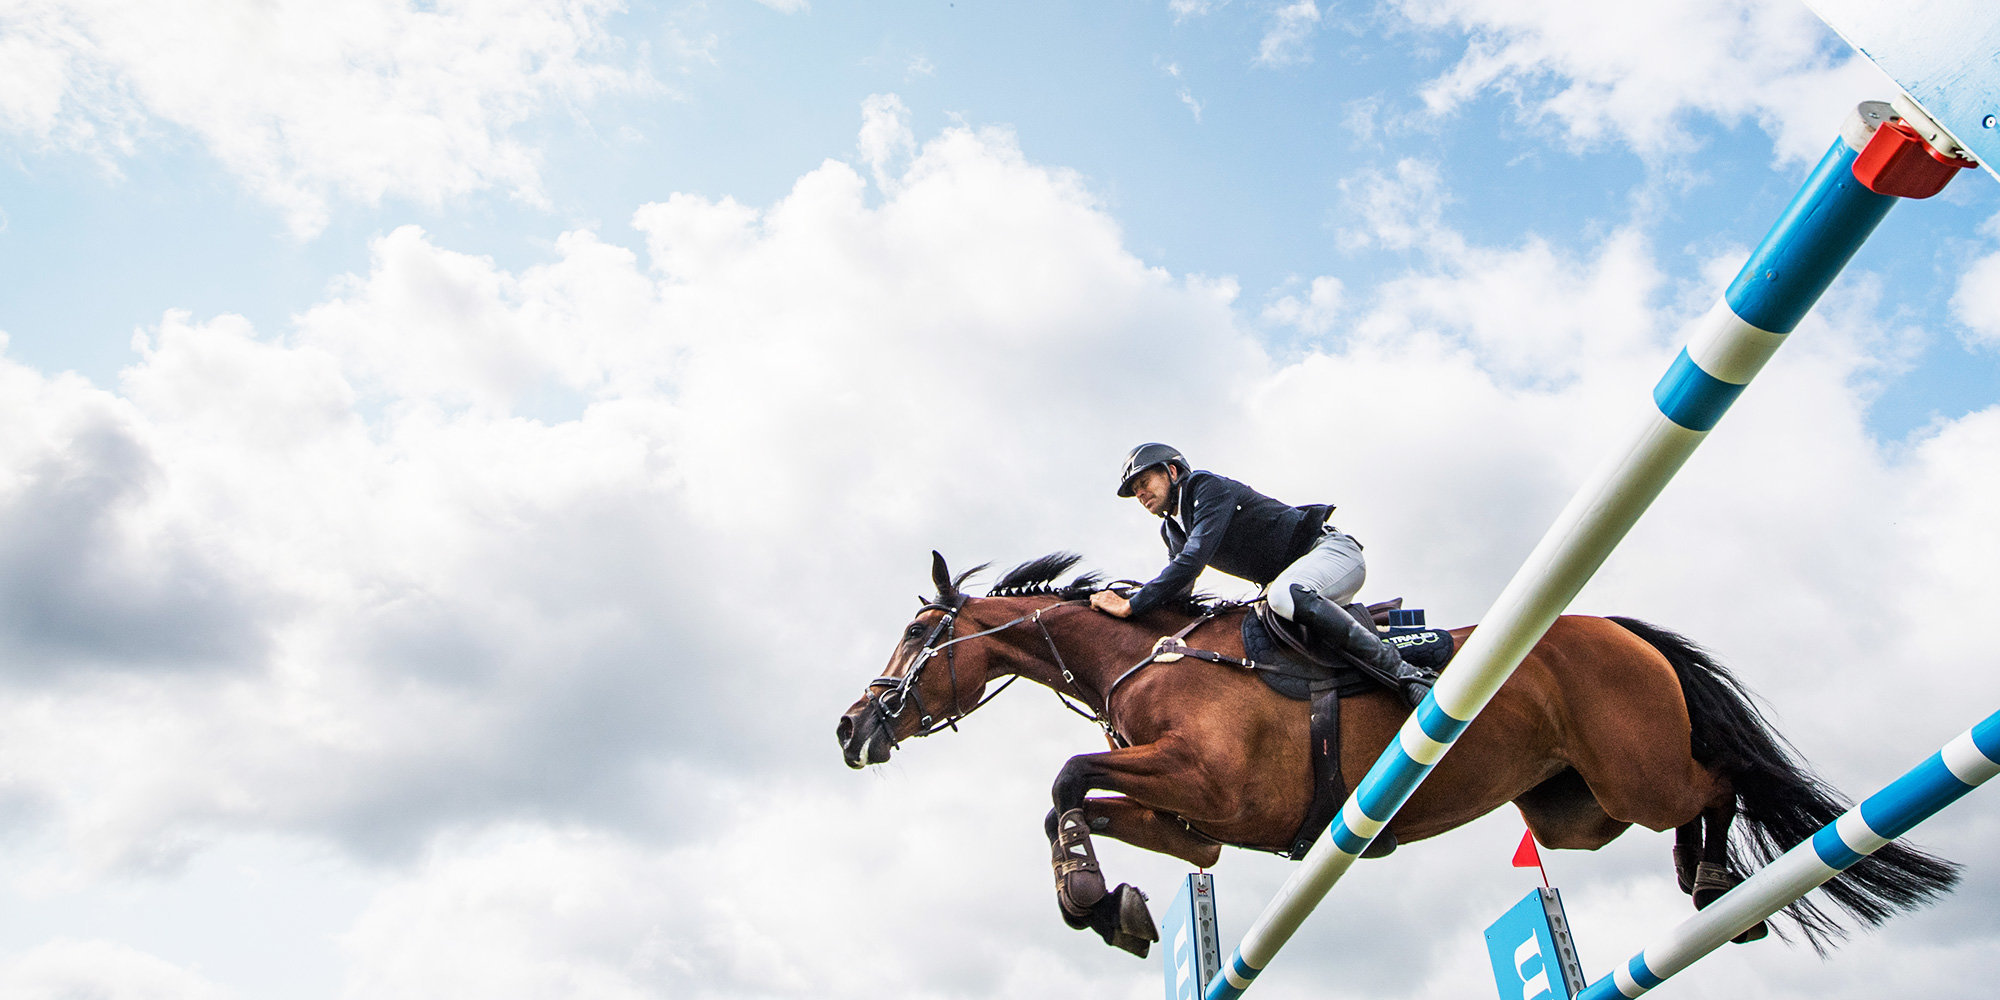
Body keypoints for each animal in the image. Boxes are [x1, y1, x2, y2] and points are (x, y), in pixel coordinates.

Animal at [836, 552, 1960, 956]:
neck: (1141, 654)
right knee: (1675, 806)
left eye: (916, 633)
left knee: (1719, 780)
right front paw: (1113, 905)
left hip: (1635, 769)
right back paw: (1707, 878)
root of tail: (1616, 627)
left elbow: (1064, 778)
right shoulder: (1198, 829)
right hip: (1574, 811)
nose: (850, 728)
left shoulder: (1211, 785)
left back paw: (1716, 878)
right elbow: (1074, 799)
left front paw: (1085, 897)